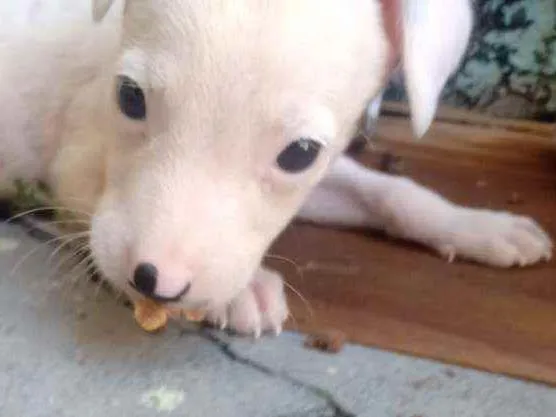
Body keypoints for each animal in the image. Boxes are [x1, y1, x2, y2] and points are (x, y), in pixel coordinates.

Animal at [0, 0, 548, 336]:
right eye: (130, 98)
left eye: (299, 154)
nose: (156, 282)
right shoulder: (75, 164)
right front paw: (245, 289)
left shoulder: (319, 173)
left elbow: (390, 194)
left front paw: (479, 225)